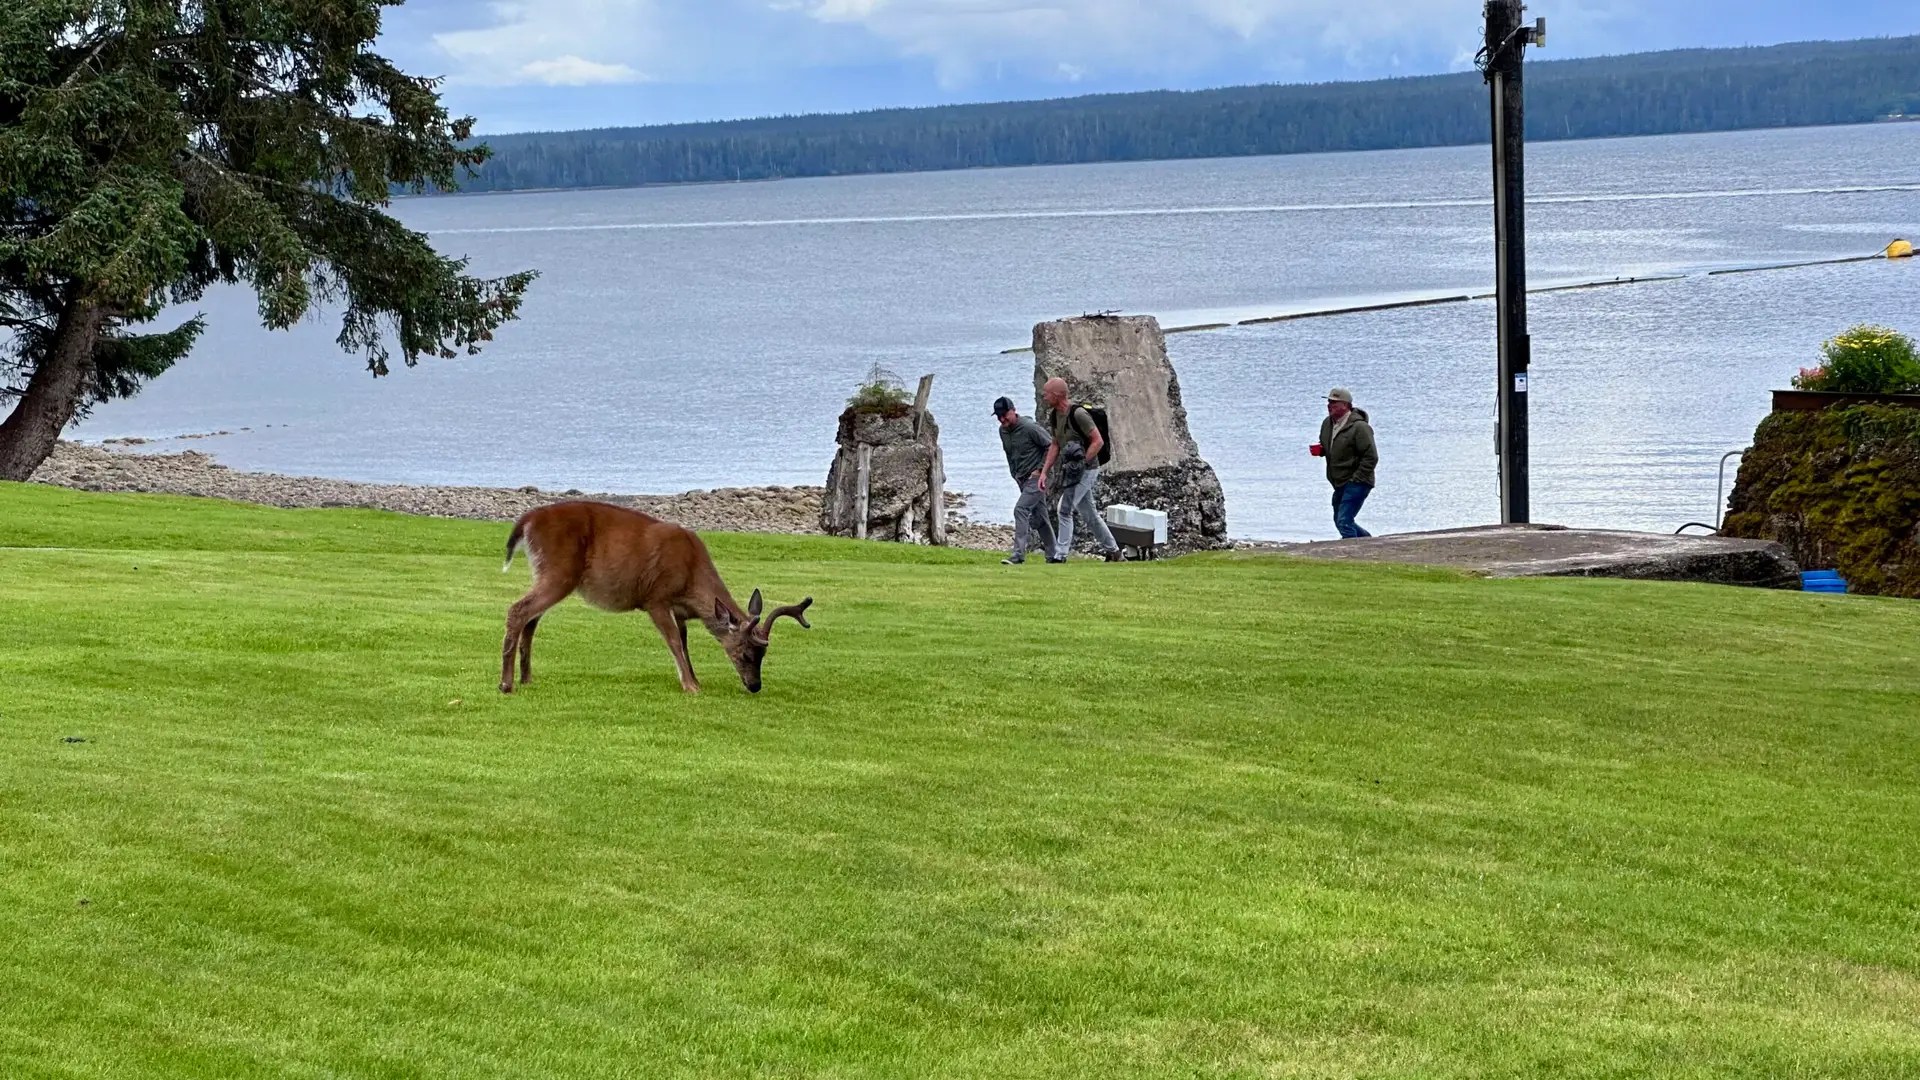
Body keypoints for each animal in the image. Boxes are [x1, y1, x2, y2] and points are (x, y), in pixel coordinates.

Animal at [498, 501, 813, 695]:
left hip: (548, 573)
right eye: (747, 653)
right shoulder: (656, 597)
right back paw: (506, 684)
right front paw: (690, 686)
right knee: (518, 610)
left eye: (764, 655)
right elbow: (673, 641)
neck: (691, 578)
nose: (755, 686)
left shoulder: (680, 610)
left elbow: (685, 644)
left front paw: (695, 679)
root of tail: (526, 521)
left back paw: (526, 678)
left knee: (531, 617)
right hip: (559, 570)